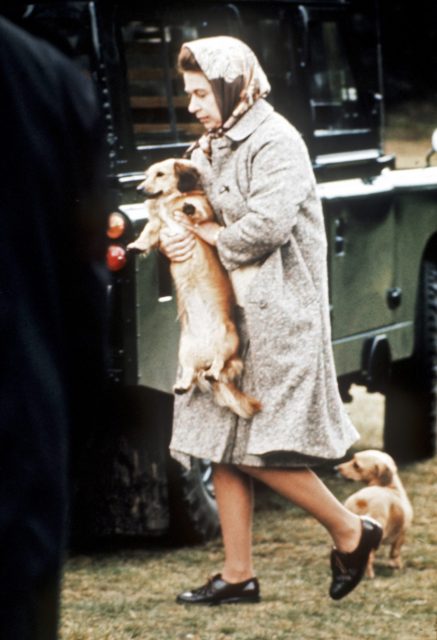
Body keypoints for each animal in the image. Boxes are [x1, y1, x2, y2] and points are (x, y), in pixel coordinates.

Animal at [127, 159, 260, 420]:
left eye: (160, 174)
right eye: (146, 175)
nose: (139, 189)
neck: (167, 203)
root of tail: (204, 357)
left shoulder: (204, 211)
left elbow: (197, 207)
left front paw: (188, 206)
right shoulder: (157, 227)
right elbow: (147, 233)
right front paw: (136, 246)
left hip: (227, 341)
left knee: (219, 365)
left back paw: (213, 371)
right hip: (184, 352)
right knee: (190, 373)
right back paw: (182, 385)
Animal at [338, 448, 412, 576]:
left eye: (356, 465)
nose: (335, 468)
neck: (391, 487)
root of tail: (361, 500)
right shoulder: (401, 535)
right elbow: (395, 553)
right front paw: (396, 566)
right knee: (368, 559)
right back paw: (369, 575)